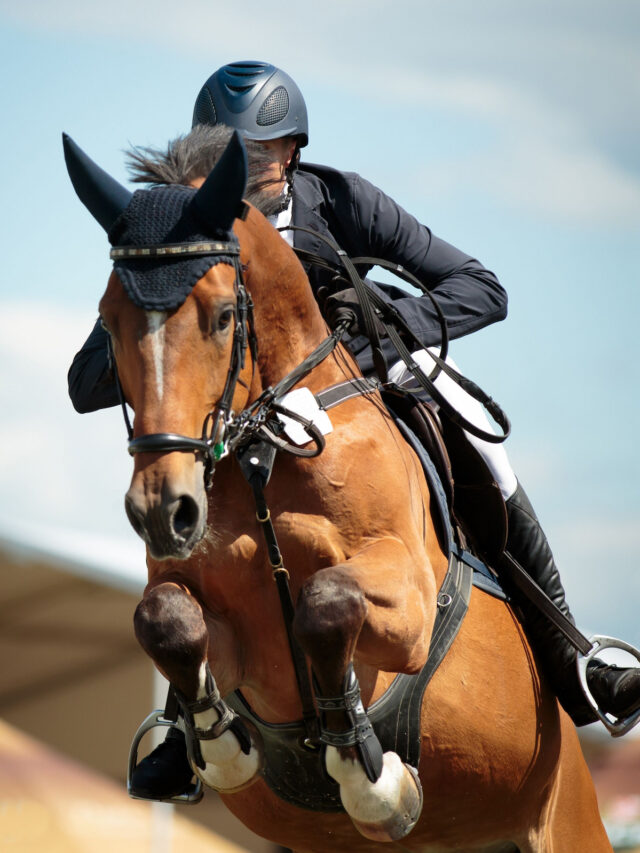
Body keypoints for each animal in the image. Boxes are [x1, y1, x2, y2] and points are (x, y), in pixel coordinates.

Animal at [64, 130, 612, 853]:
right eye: (108, 320)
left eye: (222, 317)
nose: (162, 510)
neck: (266, 443)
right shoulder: (208, 620)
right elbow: (167, 620)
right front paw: (220, 747)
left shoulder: (408, 607)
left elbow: (326, 604)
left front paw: (374, 781)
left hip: (565, 817)